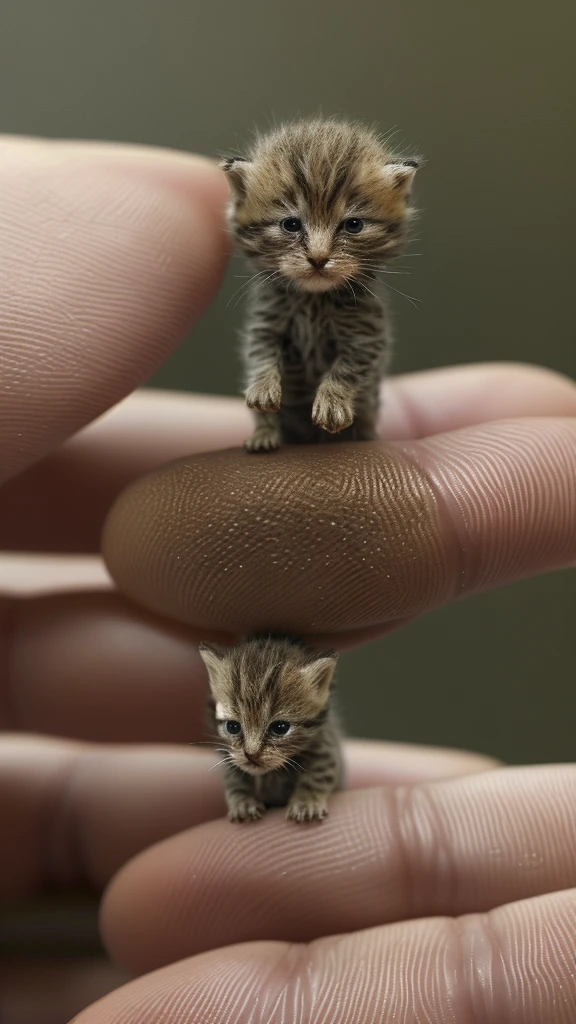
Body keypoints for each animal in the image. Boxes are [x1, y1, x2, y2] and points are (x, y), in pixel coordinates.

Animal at [196, 630, 340, 823]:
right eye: (233, 727)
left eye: (280, 728)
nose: (251, 754)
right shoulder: (230, 758)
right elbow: (234, 781)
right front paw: (243, 803)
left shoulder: (325, 749)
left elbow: (319, 775)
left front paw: (306, 803)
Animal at [219, 117, 416, 450]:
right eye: (291, 224)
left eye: (353, 225)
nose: (319, 258)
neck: (314, 298)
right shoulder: (266, 323)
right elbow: (260, 354)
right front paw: (262, 389)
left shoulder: (366, 337)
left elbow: (346, 370)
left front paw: (332, 403)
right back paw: (264, 435)